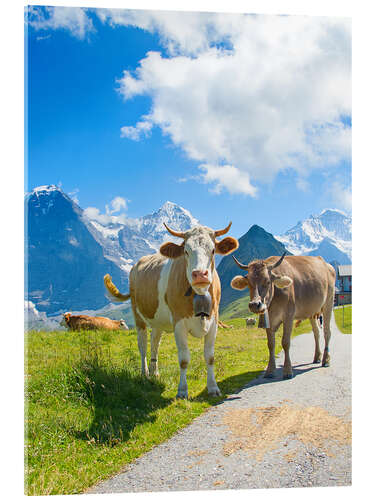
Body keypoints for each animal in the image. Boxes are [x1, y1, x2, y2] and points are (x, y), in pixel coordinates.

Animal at [103, 223, 238, 398]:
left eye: (213, 250)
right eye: (186, 251)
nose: (200, 274)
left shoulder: (213, 321)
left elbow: (210, 357)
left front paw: (213, 388)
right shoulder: (179, 324)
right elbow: (184, 359)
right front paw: (182, 391)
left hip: (158, 320)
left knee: (155, 342)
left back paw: (155, 372)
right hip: (138, 315)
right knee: (142, 345)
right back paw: (145, 373)